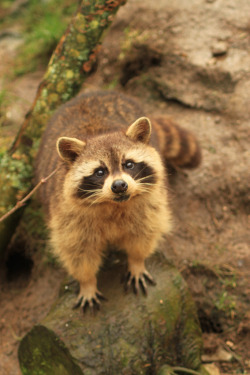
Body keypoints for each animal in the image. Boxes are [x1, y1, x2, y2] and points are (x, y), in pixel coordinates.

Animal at [35, 91, 201, 312]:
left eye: (128, 164)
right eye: (100, 172)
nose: (120, 185)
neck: (113, 204)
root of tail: (95, 93)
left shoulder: (149, 203)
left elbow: (144, 233)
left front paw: (137, 261)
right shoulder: (67, 215)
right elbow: (78, 251)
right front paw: (87, 282)